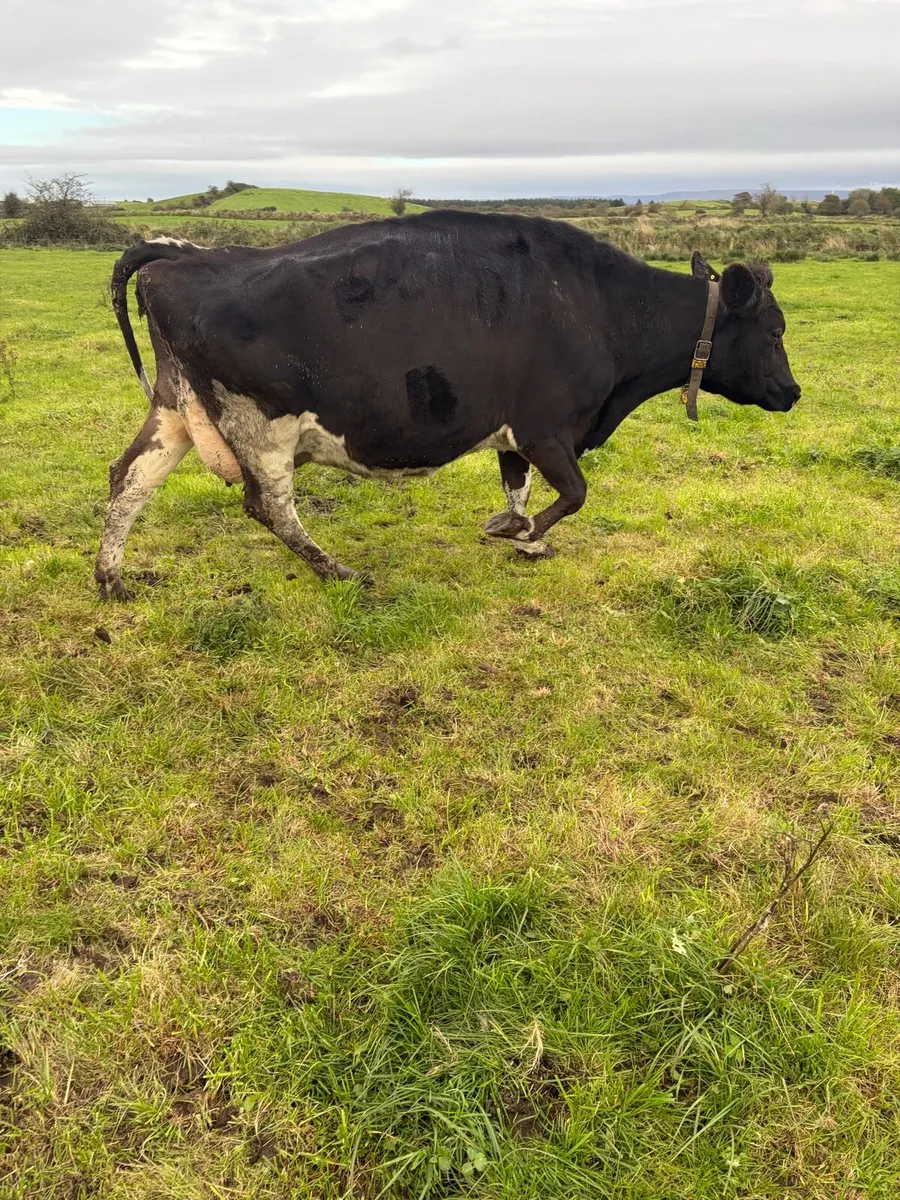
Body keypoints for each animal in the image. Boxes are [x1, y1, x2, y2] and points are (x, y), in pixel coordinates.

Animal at [95, 211, 800, 599]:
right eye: (774, 331)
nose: (793, 392)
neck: (600, 307)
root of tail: (189, 256)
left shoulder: (518, 433)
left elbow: (519, 486)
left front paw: (522, 534)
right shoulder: (548, 427)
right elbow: (574, 494)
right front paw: (520, 534)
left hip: (174, 410)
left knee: (129, 477)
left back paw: (111, 579)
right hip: (261, 428)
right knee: (269, 508)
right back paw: (339, 572)